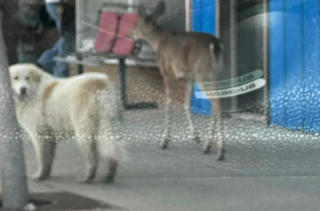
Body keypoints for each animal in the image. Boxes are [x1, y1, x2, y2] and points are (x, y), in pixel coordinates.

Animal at [130, 0, 225, 160]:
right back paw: (208, 146)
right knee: (217, 102)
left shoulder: (167, 72)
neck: (158, 42)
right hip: (215, 75)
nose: (130, 34)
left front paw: (164, 141)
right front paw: (195, 136)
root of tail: (216, 45)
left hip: (203, 74)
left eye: (136, 23)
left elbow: (168, 104)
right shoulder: (188, 78)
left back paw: (219, 151)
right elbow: (186, 104)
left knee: (217, 102)